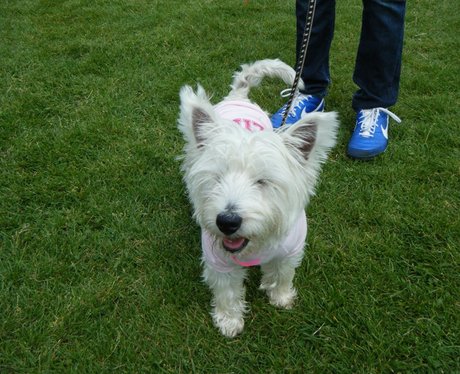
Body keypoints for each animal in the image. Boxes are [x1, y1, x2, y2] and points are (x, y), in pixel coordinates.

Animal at [178, 59, 340, 338]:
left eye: (263, 181)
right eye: (217, 178)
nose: (227, 221)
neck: (256, 244)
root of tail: (238, 95)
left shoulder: (289, 251)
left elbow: (283, 274)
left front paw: (281, 297)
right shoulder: (219, 262)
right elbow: (227, 292)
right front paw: (229, 321)